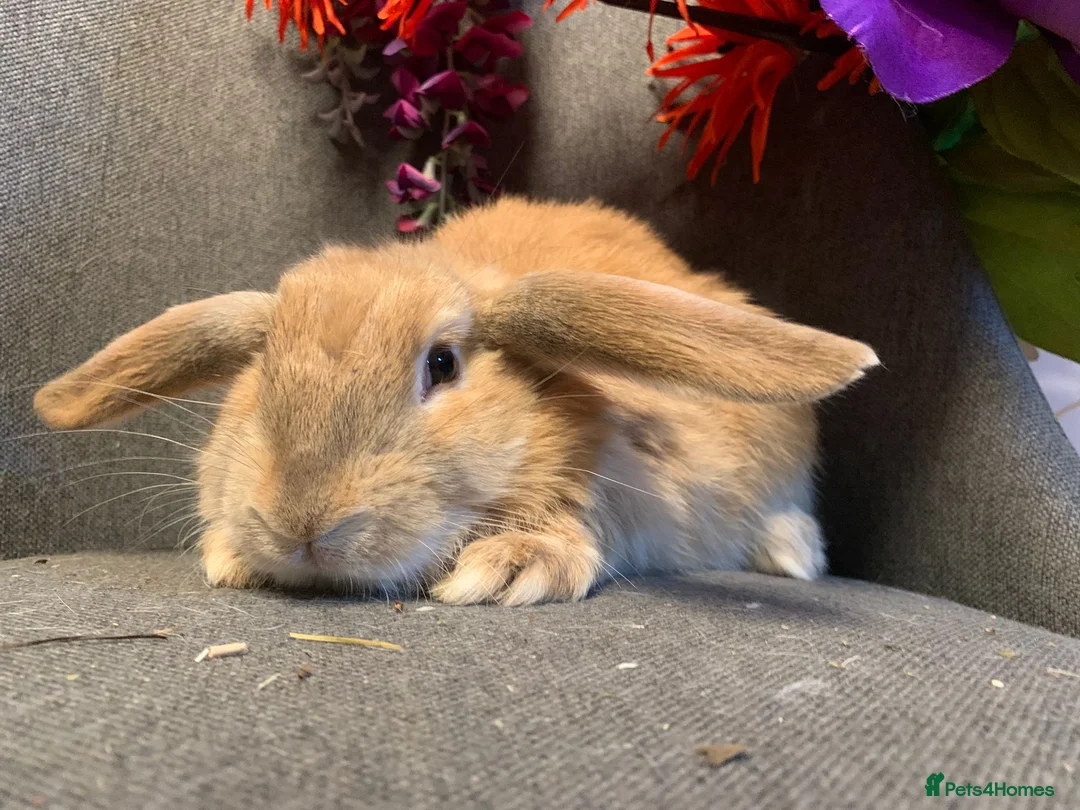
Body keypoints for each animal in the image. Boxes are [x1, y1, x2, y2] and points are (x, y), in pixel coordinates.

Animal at [34, 197, 878, 605]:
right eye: (262, 365)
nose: (302, 525)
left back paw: (792, 552)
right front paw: (233, 556)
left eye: (442, 364)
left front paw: (509, 566)